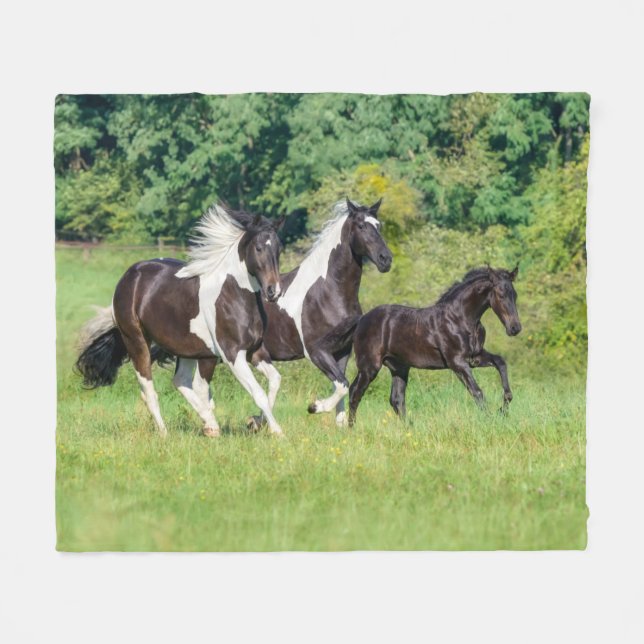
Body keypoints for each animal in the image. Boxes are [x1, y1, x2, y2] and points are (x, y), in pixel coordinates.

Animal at [75, 205, 286, 437]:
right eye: (258, 248)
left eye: (279, 249)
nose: (273, 291)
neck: (233, 295)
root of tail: (130, 276)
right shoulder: (232, 355)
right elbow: (258, 393)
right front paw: (278, 432)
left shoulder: (254, 351)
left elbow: (274, 382)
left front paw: (255, 422)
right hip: (137, 341)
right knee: (150, 390)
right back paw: (167, 433)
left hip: (188, 348)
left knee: (181, 381)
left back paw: (209, 425)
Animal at [224, 197, 393, 428]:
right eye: (361, 226)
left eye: (378, 225)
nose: (386, 259)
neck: (328, 291)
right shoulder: (316, 351)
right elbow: (342, 385)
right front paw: (315, 407)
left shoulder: (342, 351)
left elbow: (341, 386)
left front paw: (340, 426)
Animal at [347, 265, 521, 425]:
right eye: (501, 295)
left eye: (515, 295)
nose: (515, 328)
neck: (460, 319)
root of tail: (361, 320)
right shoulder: (457, 362)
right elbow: (477, 392)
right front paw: (491, 420)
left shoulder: (475, 357)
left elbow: (500, 362)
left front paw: (503, 409)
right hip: (369, 367)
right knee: (355, 393)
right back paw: (351, 428)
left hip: (399, 367)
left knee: (396, 399)